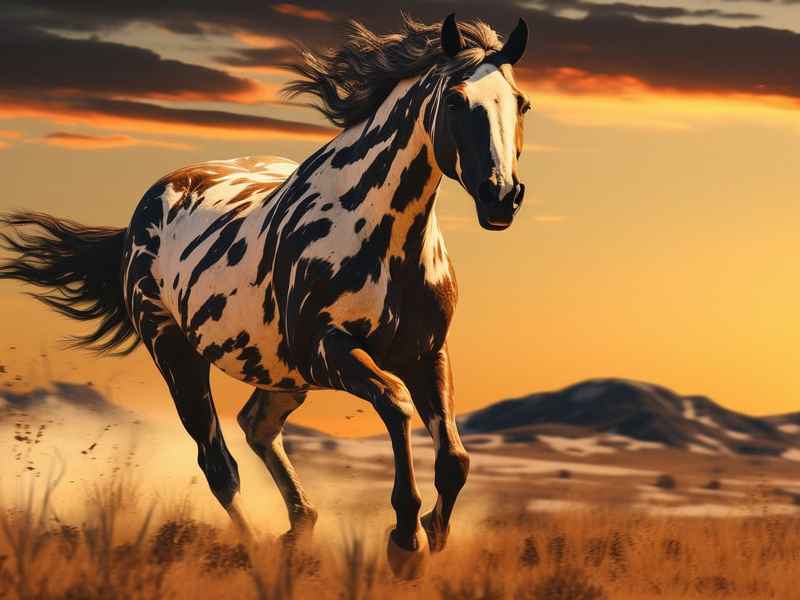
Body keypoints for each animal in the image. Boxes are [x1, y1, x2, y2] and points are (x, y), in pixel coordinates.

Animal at [0, 13, 530, 577]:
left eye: (521, 103)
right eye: (455, 100)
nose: (501, 197)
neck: (386, 238)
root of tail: (145, 210)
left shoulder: (425, 351)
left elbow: (455, 458)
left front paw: (434, 533)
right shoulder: (327, 350)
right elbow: (395, 403)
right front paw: (405, 540)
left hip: (279, 373)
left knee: (256, 427)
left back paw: (299, 529)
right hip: (178, 355)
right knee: (219, 463)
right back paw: (255, 549)